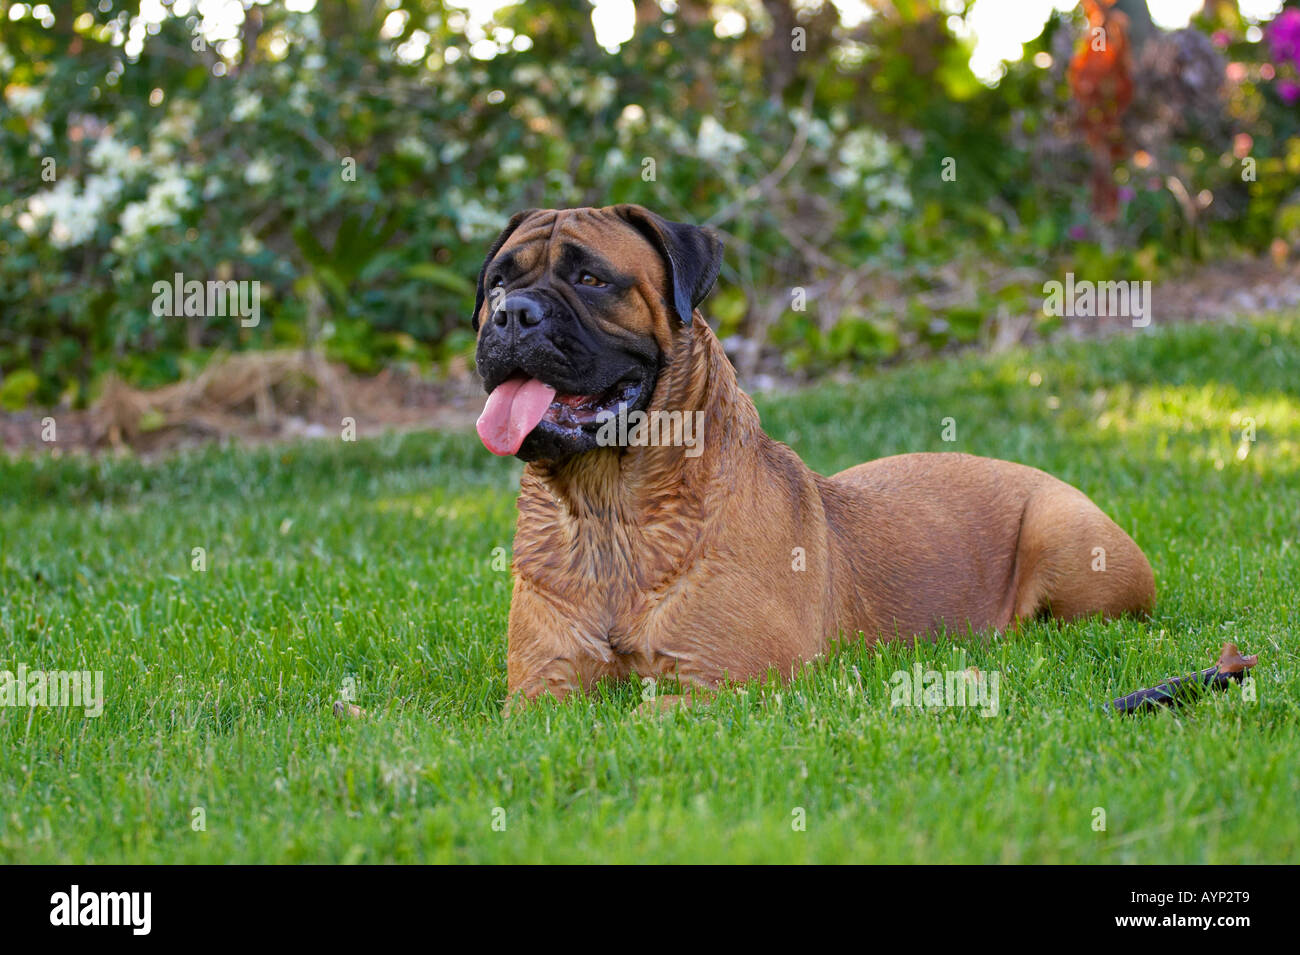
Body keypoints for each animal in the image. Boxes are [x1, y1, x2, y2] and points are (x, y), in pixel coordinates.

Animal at [475, 203, 1159, 712]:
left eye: (591, 280)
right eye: (498, 283)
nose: (511, 314)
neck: (608, 510)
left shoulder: (727, 684)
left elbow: (641, 713)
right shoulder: (539, 689)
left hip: (1064, 535)